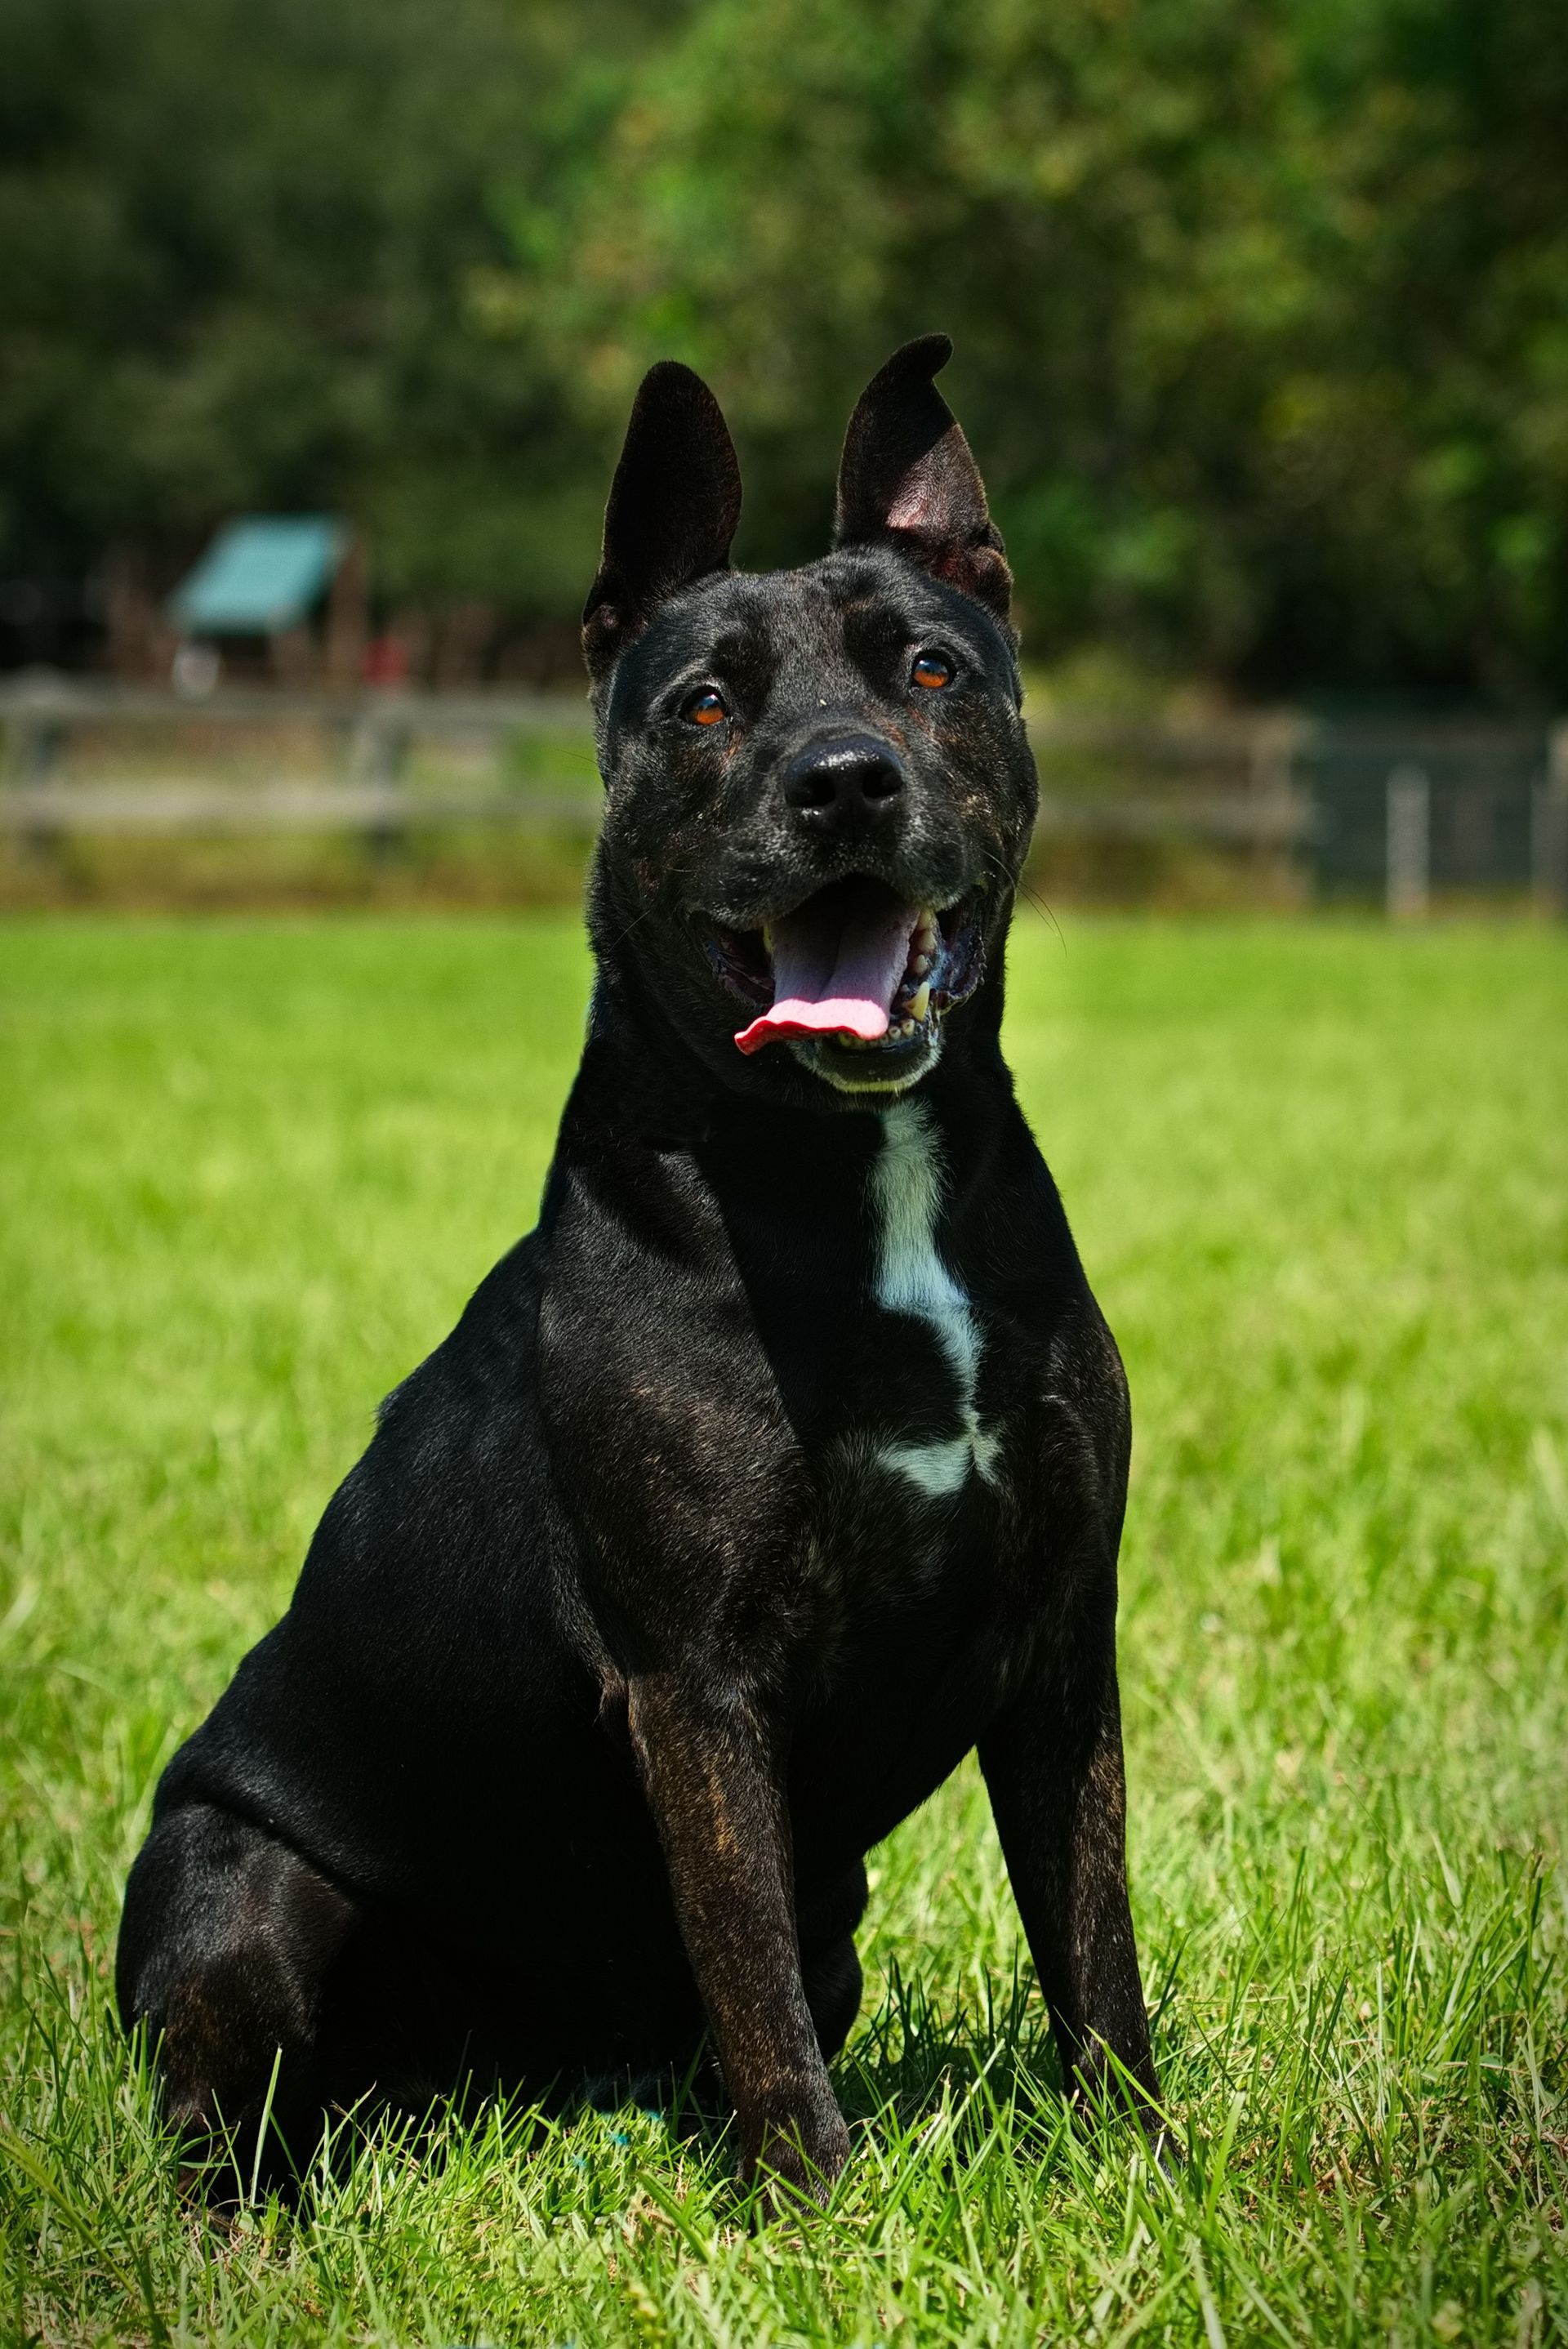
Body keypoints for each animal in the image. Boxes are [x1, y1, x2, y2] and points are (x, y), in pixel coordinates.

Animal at [116, 336, 1164, 2198]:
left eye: (928, 670)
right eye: (705, 708)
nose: (845, 778)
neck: (849, 1174)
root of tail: (482, 2084)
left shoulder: (1059, 1636)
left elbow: (1091, 1942)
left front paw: (1144, 2165)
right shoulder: (698, 1683)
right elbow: (754, 1990)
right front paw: (816, 2206)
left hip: (836, 1904)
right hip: (237, 1894)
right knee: (217, 2115)